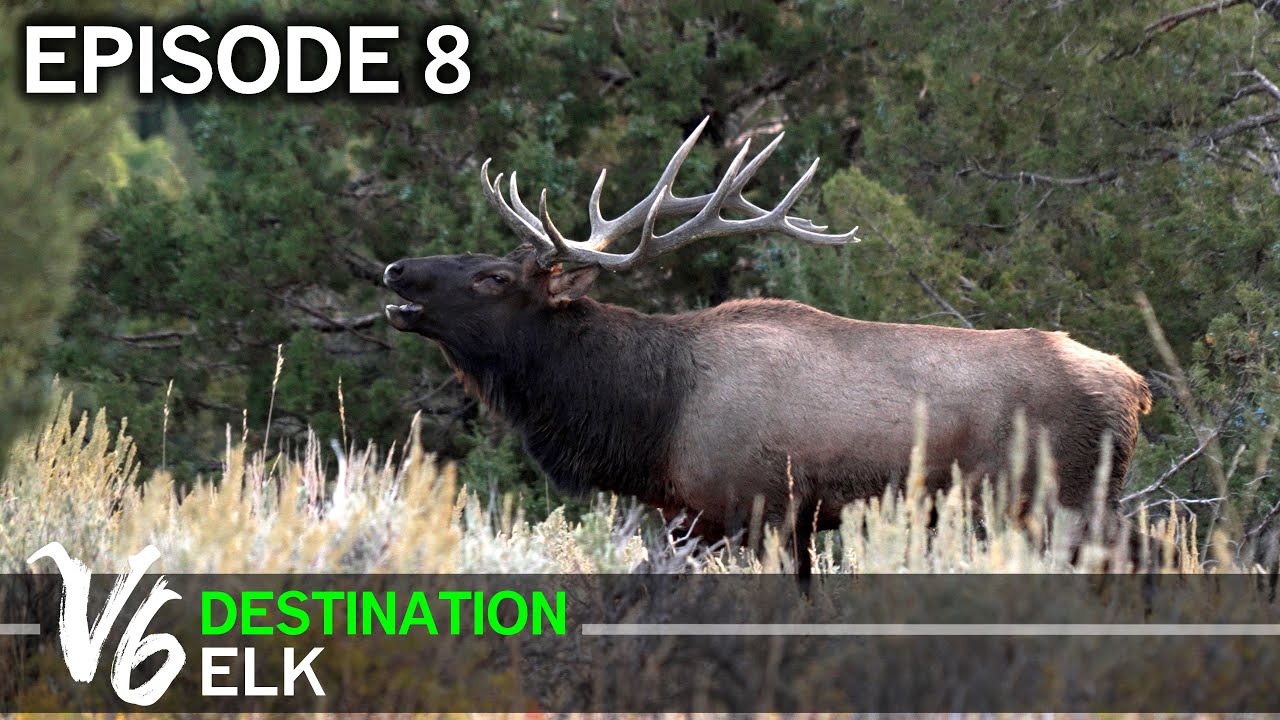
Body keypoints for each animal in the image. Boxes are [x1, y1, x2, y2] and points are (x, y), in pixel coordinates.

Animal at [383, 117, 1152, 577]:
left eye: (493, 276)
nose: (395, 270)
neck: (650, 419)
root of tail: (1135, 388)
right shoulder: (715, 518)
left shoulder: (754, 507)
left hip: (1062, 498)